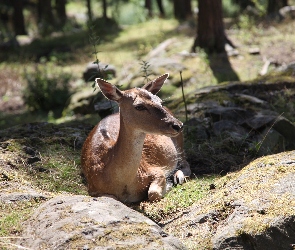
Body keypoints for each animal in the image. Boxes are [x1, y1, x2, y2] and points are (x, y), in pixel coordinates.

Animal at [81, 73, 192, 203]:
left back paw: (178, 176)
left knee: (185, 162)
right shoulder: (93, 189)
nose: (178, 125)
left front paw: (168, 184)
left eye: (160, 101)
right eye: (139, 106)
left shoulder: (155, 170)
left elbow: (153, 193)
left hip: (180, 143)